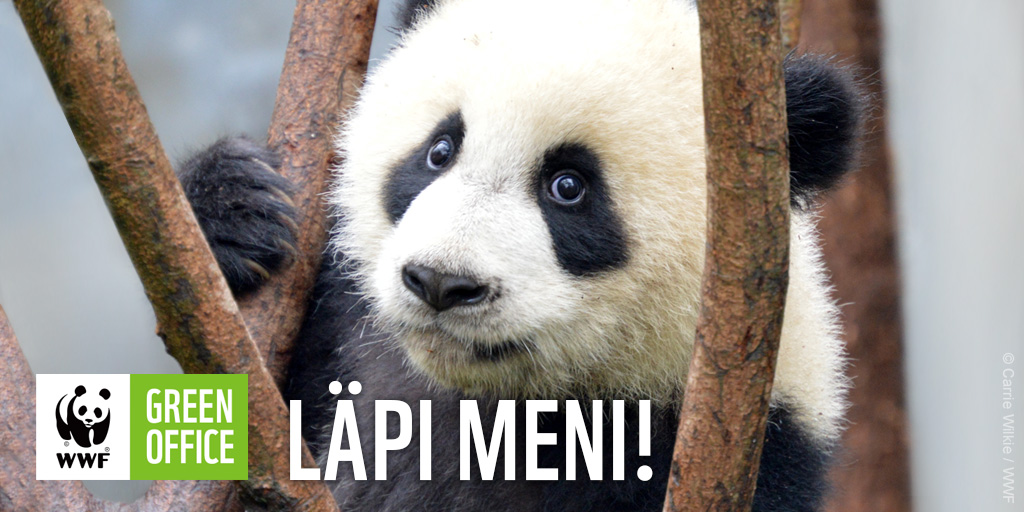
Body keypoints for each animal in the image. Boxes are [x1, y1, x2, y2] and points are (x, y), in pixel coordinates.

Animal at [178, 0, 863, 510]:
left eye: (568, 187)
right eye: (439, 150)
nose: (440, 283)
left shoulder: (755, 445)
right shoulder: (343, 338)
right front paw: (233, 208)